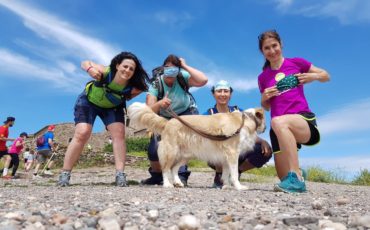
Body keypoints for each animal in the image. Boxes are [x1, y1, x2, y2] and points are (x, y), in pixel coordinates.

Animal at [128, 103, 266, 190]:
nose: (265, 128)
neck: (244, 121)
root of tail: (168, 122)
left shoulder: (226, 156)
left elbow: (226, 173)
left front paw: (226, 186)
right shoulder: (232, 153)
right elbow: (234, 173)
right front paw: (238, 187)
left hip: (185, 155)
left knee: (174, 168)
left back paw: (178, 182)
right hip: (171, 151)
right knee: (166, 168)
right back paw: (167, 184)